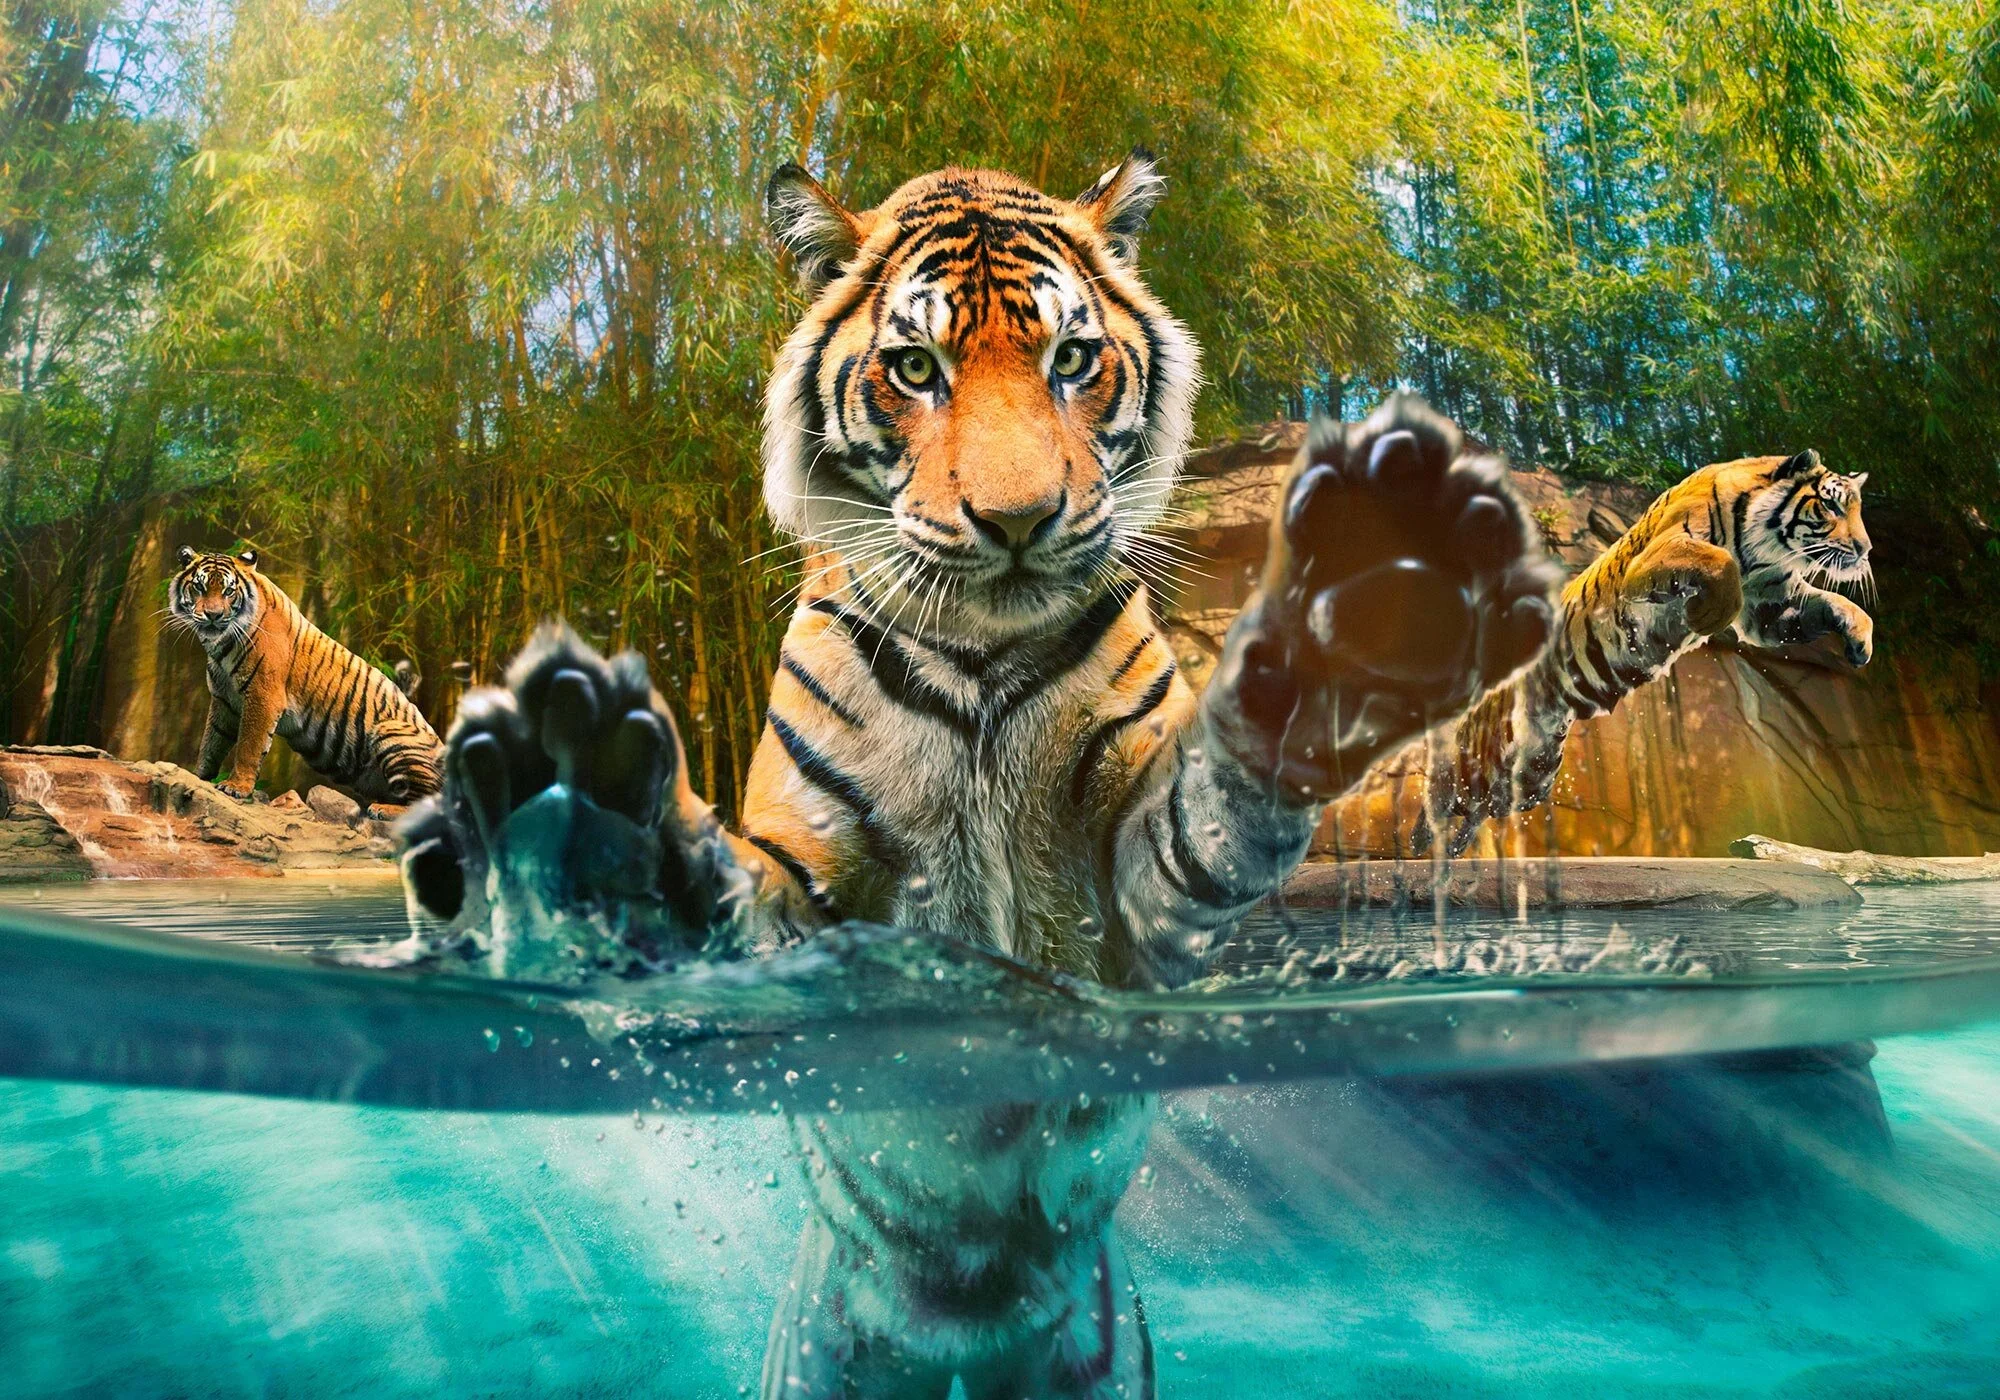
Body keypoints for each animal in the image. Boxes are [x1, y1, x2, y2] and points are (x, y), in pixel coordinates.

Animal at [167, 547, 445, 805]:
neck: (220, 645)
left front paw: (235, 787)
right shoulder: (223, 698)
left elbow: (249, 745)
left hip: (392, 732)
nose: (213, 615)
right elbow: (211, 741)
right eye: (199, 587)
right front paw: (200, 776)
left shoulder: (263, 695)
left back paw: (381, 810)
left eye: (228, 591)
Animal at [394, 153, 1558, 1399]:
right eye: (915, 368)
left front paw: (1380, 588)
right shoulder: (807, 897)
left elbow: (1213, 805)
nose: (1015, 520)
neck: (981, 652)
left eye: (1072, 360)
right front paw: (579, 805)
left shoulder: (1130, 904)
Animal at [1414, 448, 1874, 857]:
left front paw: (1860, 642)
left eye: (1856, 509)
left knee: (1480, 806)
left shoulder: (1770, 606)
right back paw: (1420, 841)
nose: (1865, 550)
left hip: (1530, 777)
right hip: (1488, 756)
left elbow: (1839, 605)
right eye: (1830, 506)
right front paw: (1705, 614)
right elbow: (1720, 563)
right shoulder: (1666, 555)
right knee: (1445, 790)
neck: (1764, 549)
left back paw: (1450, 847)